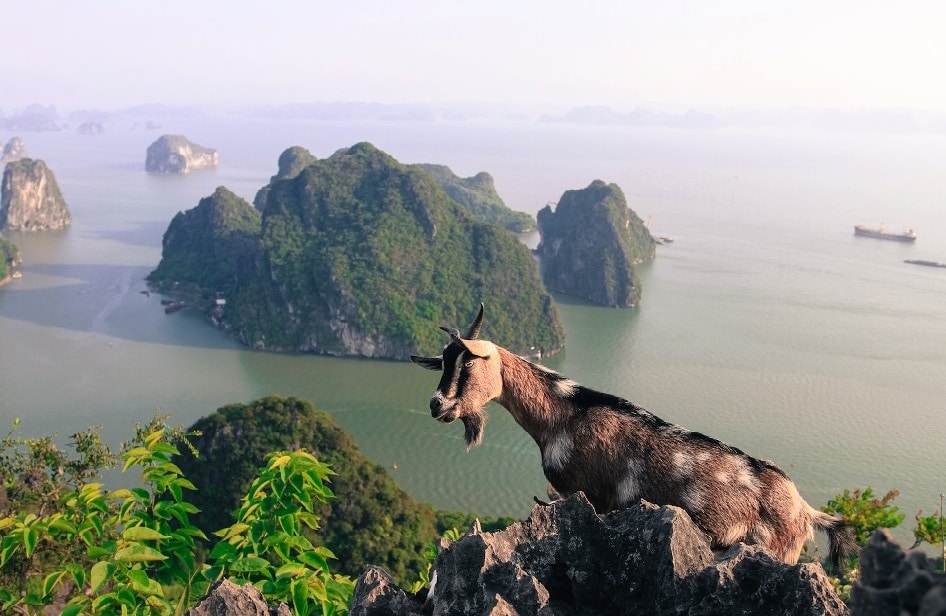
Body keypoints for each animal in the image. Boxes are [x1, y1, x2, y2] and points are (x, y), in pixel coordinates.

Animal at [411, 303, 857, 569]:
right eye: (443, 363)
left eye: (469, 362)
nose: (436, 405)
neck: (561, 416)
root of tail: (806, 511)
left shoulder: (585, 495)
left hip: (777, 549)